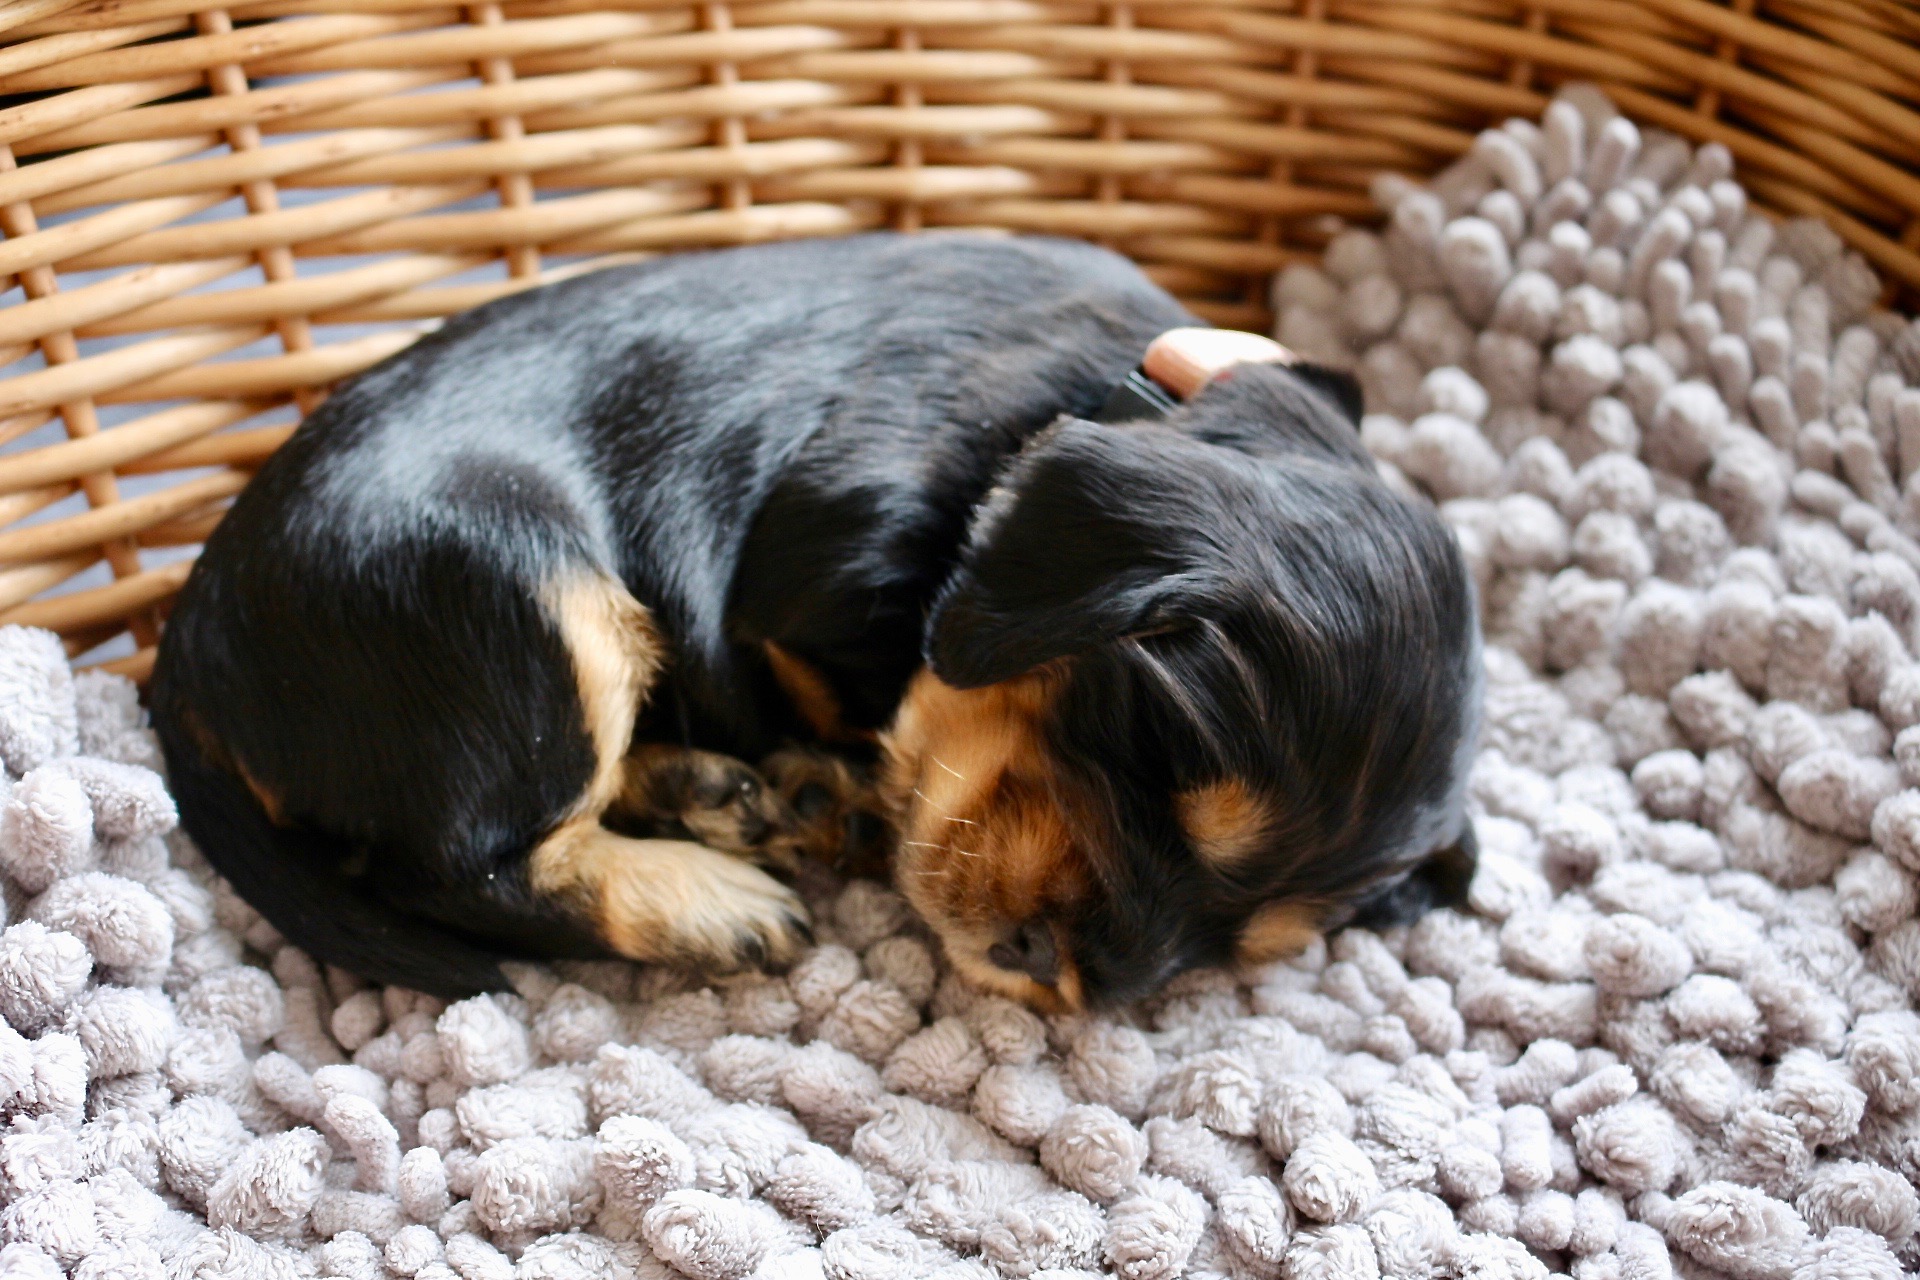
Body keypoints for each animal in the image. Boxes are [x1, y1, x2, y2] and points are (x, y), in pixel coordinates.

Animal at [150, 232, 1482, 1009]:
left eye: (1243, 945)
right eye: (1156, 750)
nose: (1062, 977)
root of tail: (187, 657)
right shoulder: (803, 583)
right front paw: (845, 780)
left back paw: (733, 794)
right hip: (526, 592)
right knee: (464, 863)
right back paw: (718, 894)